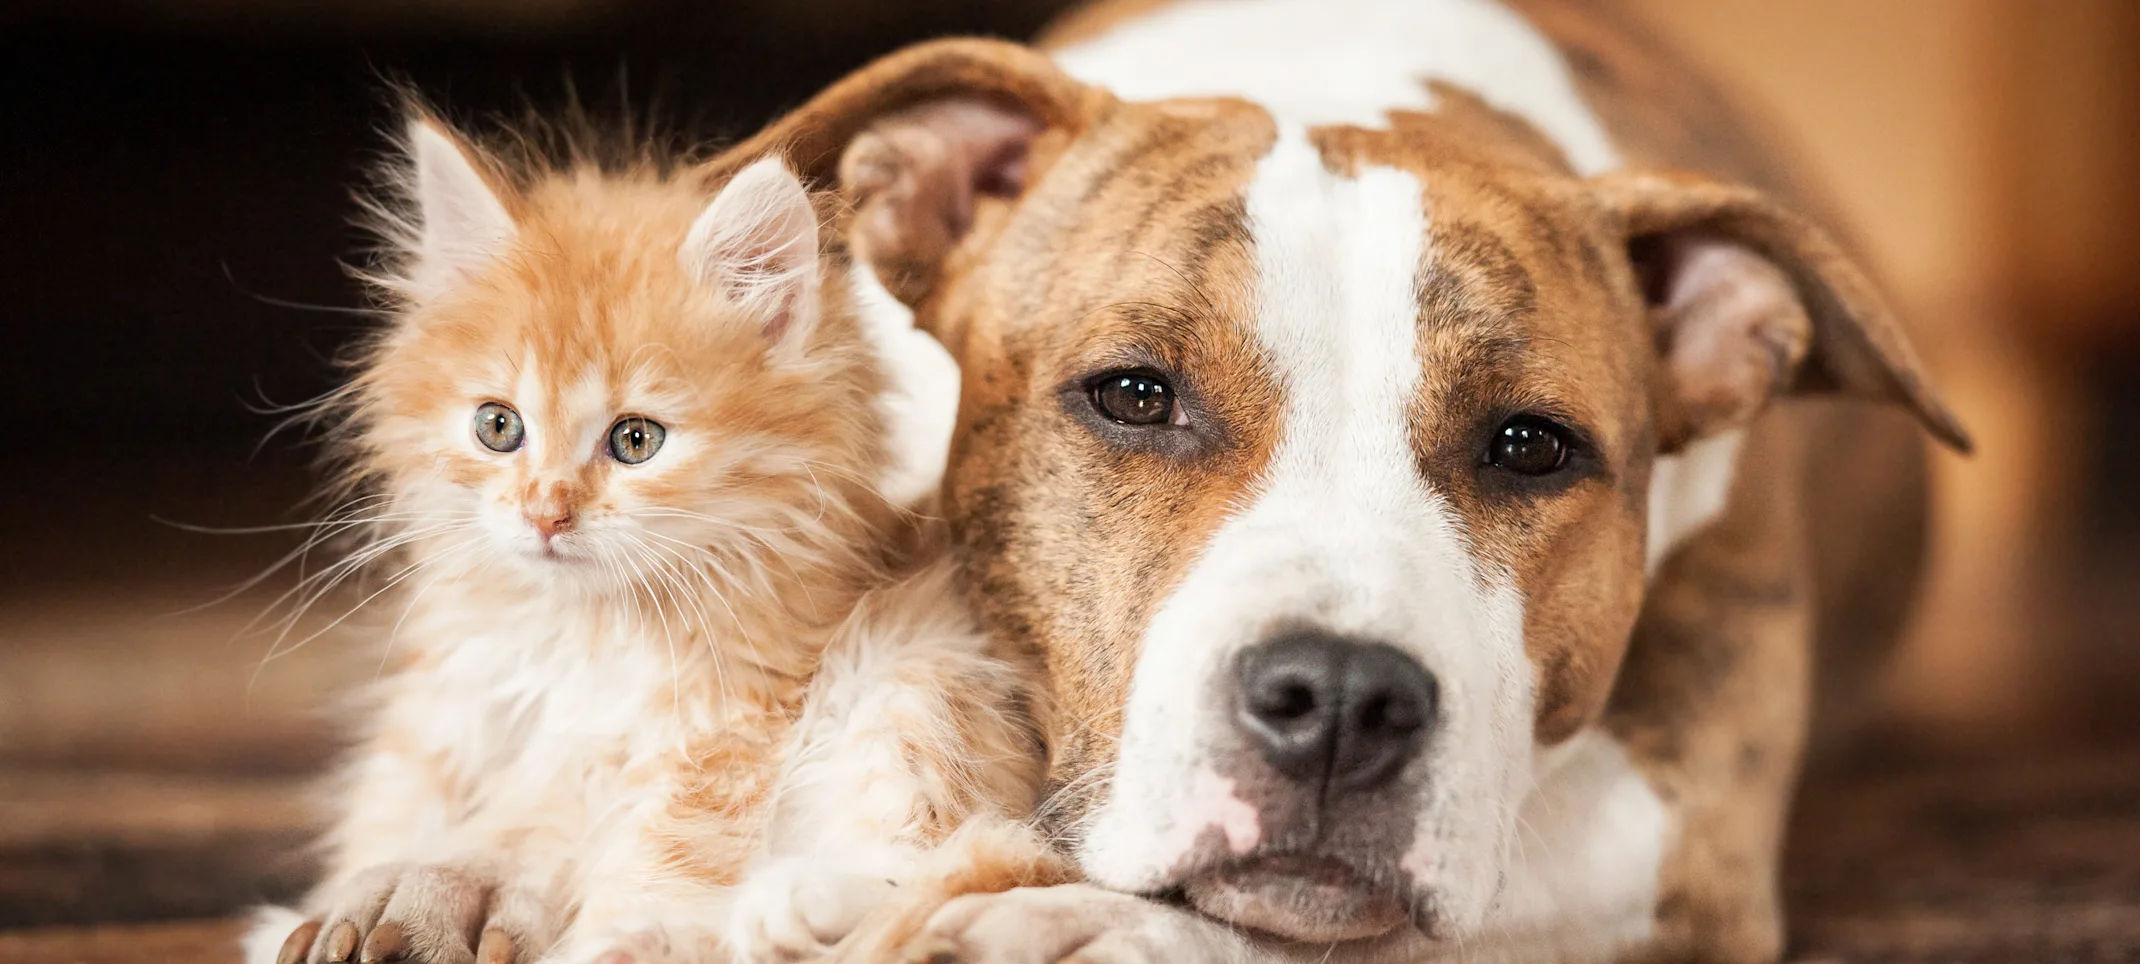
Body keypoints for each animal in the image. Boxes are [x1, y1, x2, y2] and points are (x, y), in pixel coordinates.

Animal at [245, 116, 1044, 964]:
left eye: (635, 440)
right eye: (497, 427)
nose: (546, 513)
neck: (581, 635)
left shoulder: (728, 728)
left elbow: (655, 871)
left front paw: (607, 936)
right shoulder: (446, 718)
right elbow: (402, 822)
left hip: (924, 676)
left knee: (966, 862)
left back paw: (789, 906)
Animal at [710, 3, 1960, 959]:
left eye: (1531, 446)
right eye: (1134, 395)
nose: (1343, 700)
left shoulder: (1691, 833)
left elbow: (1439, 916)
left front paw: (1067, 918)